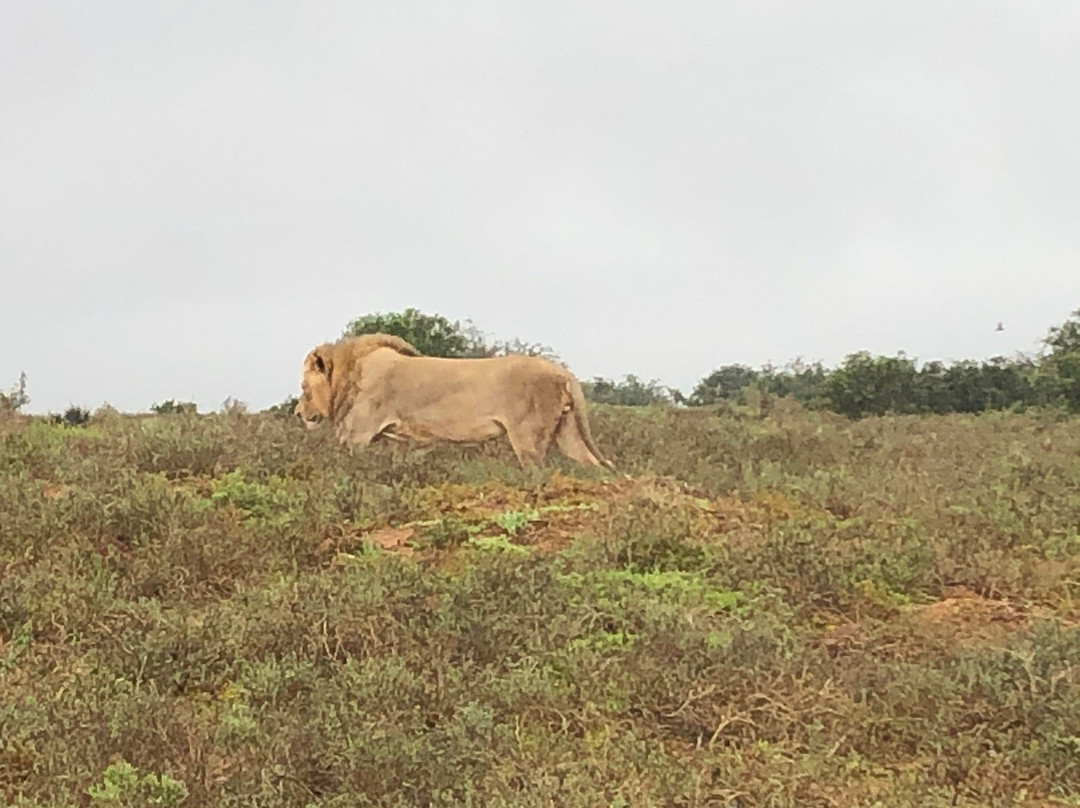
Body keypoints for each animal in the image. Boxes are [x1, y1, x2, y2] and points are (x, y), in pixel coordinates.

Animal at [295, 332, 617, 470]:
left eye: (304, 387)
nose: (298, 413)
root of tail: (563, 372)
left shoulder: (357, 435)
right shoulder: (406, 442)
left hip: (528, 437)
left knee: (538, 473)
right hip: (567, 432)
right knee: (596, 466)